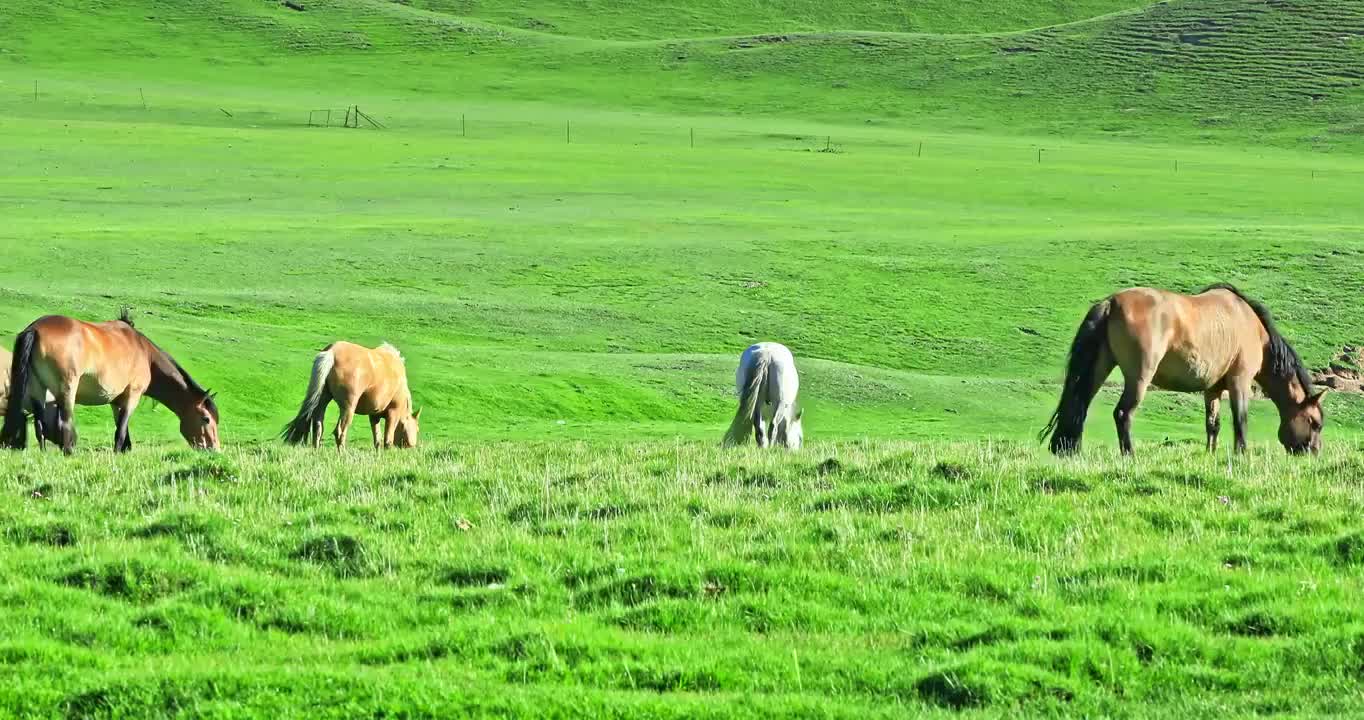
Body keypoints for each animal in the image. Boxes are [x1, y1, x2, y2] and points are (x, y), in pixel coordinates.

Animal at [0, 310, 220, 455]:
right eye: (206, 419)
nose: (214, 449)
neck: (145, 354)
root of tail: (34, 330)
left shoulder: (116, 401)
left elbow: (121, 426)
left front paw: (125, 450)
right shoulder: (132, 396)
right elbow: (121, 429)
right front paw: (118, 451)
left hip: (38, 391)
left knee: (40, 426)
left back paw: (45, 453)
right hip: (67, 390)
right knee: (64, 422)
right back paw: (70, 452)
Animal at [278, 343, 420, 450]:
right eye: (417, 429)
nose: (413, 447)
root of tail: (332, 352)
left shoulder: (374, 415)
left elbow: (377, 439)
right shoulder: (393, 413)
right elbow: (387, 440)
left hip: (322, 401)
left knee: (318, 427)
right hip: (348, 408)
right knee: (339, 432)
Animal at [1042, 282, 1320, 455]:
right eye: (1315, 422)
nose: (1314, 452)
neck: (1253, 327)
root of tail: (1110, 303)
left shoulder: (1213, 389)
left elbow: (1213, 424)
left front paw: (1210, 454)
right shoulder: (1239, 381)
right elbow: (1240, 421)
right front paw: (1241, 455)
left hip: (1099, 368)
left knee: (1081, 405)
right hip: (1139, 377)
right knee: (1123, 414)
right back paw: (1130, 455)